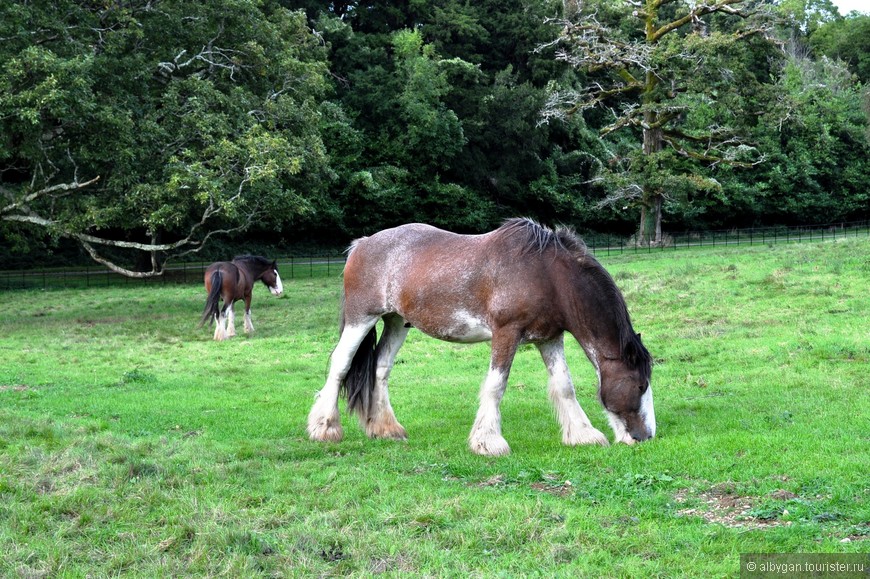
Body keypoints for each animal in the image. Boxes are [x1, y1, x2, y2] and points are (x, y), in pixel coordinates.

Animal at [306, 220, 656, 456]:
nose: (646, 436)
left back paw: (386, 429)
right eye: (640, 385)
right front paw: (488, 442)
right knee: (340, 364)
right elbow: (496, 385)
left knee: (380, 369)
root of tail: (361, 244)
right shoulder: (506, 333)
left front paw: (583, 435)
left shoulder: (549, 338)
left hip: (396, 322)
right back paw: (324, 428)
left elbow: (564, 386)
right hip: (361, 319)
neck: (547, 275)